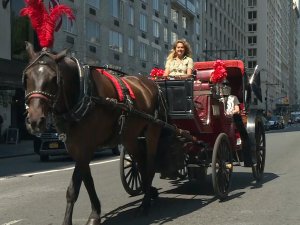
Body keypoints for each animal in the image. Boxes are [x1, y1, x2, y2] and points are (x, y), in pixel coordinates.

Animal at [23, 42, 166, 225]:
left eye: (54, 78)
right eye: (27, 77)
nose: (35, 121)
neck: (83, 94)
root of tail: (151, 83)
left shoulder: (86, 147)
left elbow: (73, 189)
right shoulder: (76, 149)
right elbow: (88, 182)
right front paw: (95, 213)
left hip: (153, 131)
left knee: (150, 163)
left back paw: (145, 203)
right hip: (130, 136)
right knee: (140, 161)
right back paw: (149, 192)